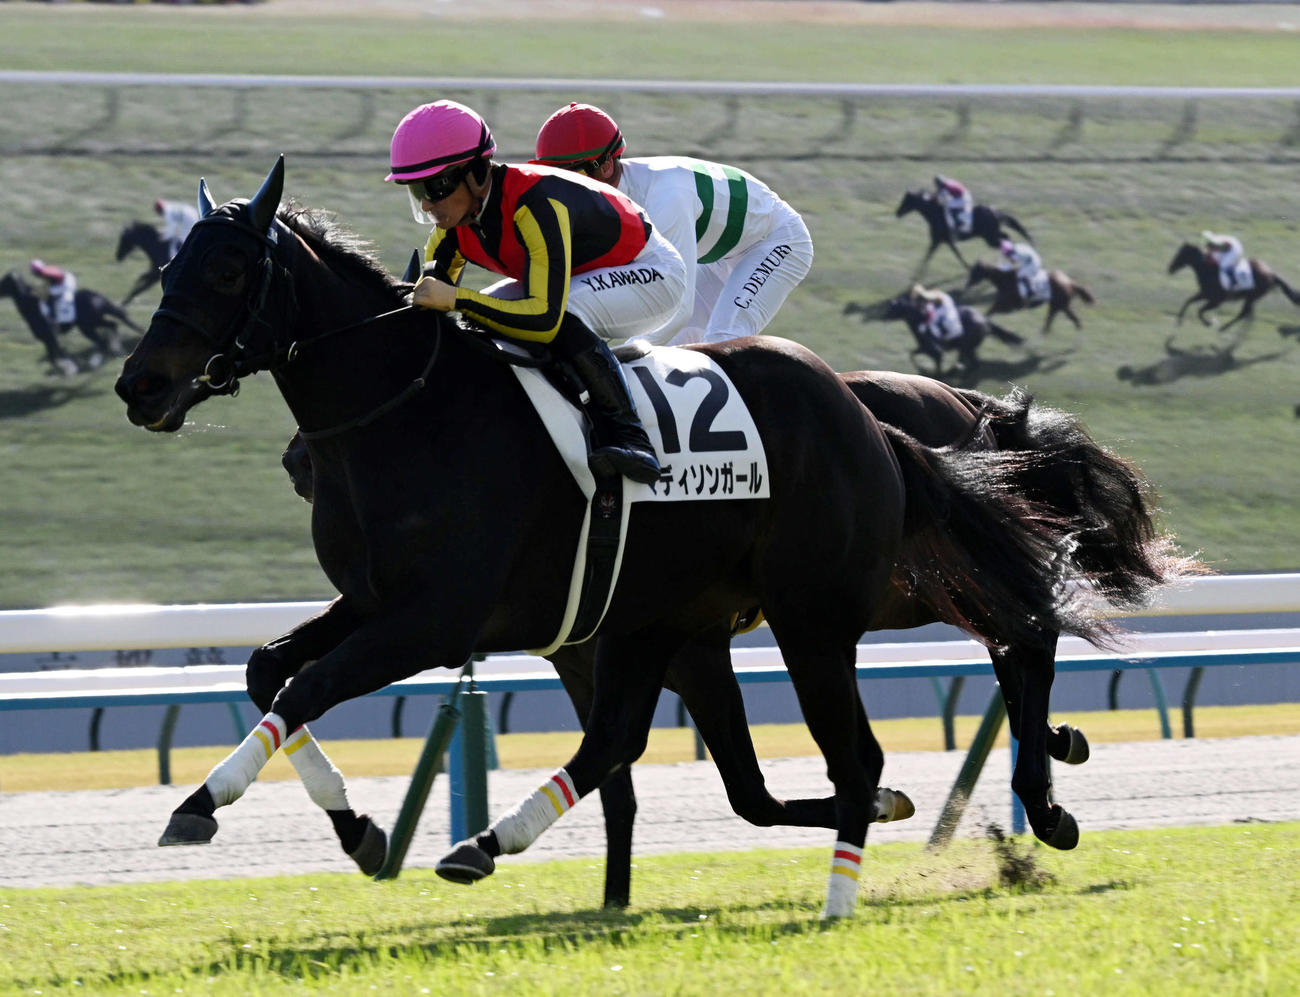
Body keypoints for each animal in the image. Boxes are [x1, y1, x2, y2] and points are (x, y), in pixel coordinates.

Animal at [0, 271, 141, 375]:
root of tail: (98, 297)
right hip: (93, 323)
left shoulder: (51, 337)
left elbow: (57, 356)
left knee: (102, 340)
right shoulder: (46, 340)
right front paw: (64, 370)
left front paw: (70, 369)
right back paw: (115, 349)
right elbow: (52, 358)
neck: (32, 306)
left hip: (88, 326)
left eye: (4, 281)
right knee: (112, 325)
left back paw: (95, 361)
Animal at [881, 293, 1024, 378]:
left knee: (973, 364)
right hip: (966, 348)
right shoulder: (924, 348)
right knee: (970, 363)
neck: (921, 318)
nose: (884, 317)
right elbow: (912, 354)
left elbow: (936, 364)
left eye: (893, 308)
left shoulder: (936, 351)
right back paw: (955, 372)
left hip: (968, 347)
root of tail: (984, 320)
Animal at [895, 189, 1034, 276]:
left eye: (906, 201)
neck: (935, 213)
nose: (897, 213)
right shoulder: (943, 240)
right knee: (1006, 237)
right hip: (991, 235)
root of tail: (994, 212)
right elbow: (949, 254)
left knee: (1006, 239)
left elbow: (936, 255)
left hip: (990, 237)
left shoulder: (940, 240)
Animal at [965, 261, 1095, 334]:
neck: (1005, 279)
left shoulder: (1007, 305)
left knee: (1074, 320)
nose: (967, 284)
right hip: (1057, 306)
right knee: (1054, 321)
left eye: (975, 271)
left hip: (1061, 306)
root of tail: (1070, 283)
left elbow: (990, 311)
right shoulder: (1007, 305)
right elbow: (990, 312)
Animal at [1167, 242, 1300, 333]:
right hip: (1251, 298)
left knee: (1243, 313)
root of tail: (1271, 274)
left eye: (1181, 255)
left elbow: (1200, 311)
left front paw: (1209, 323)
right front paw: (1179, 319)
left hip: (1251, 297)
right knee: (1246, 313)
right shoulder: (1205, 294)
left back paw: (1224, 327)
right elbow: (1188, 301)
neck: (1209, 270)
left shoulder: (1216, 301)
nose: (1170, 269)